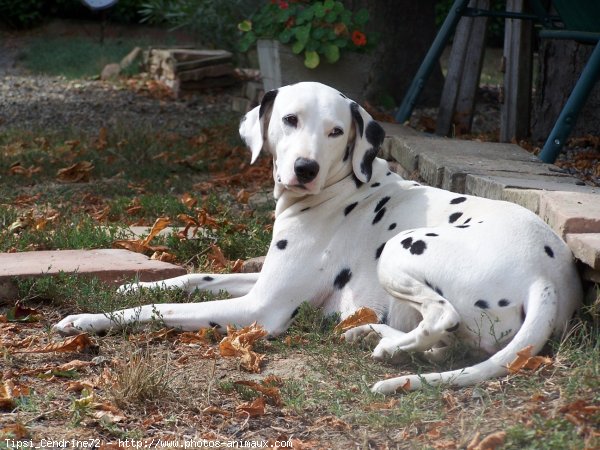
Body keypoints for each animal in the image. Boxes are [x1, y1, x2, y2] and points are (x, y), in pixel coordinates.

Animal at [55, 81, 580, 394]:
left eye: (335, 131)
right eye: (289, 119)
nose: (304, 168)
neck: (342, 189)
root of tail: (547, 276)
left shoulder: (259, 309)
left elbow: (159, 310)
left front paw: (86, 319)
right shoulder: (263, 280)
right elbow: (193, 278)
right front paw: (129, 284)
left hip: (401, 248)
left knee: (442, 319)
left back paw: (386, 347)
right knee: (446, 344)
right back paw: (372, 333)